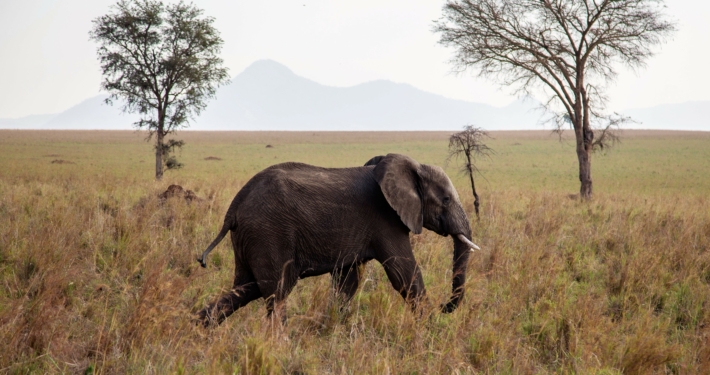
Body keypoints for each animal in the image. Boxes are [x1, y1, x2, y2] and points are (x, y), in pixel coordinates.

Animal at [197, 153, 482, 326]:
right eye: (446, 199)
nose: (445, 306)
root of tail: (235, 205)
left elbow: (348, 282)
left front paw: (332, 328)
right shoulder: (386, 219)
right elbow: (404, 273)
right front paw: (430, 328)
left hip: (250, 237)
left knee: (248, 286)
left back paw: (198, 326)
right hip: (268, 232)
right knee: (277, 291)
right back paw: (280, 343)